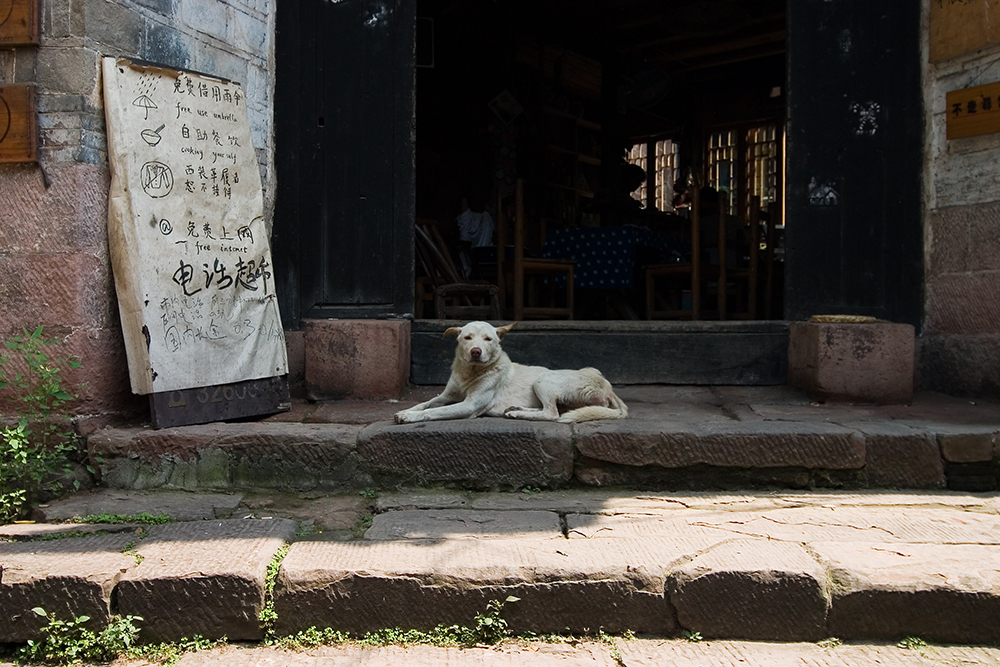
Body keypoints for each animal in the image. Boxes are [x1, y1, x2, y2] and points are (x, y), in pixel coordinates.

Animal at [394, 320, 628, 426]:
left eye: (488, 339)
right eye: (467, 338)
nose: (476, 351)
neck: (469, 373)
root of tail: (609, 388)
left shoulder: (469, 405)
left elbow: (434, 412)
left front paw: (409, 417)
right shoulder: (445, 396)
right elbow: (425, 404)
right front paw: (406, 410)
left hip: (544, 379)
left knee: (552, 414)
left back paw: (518, 413)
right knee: (555, 409)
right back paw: (516, 409)